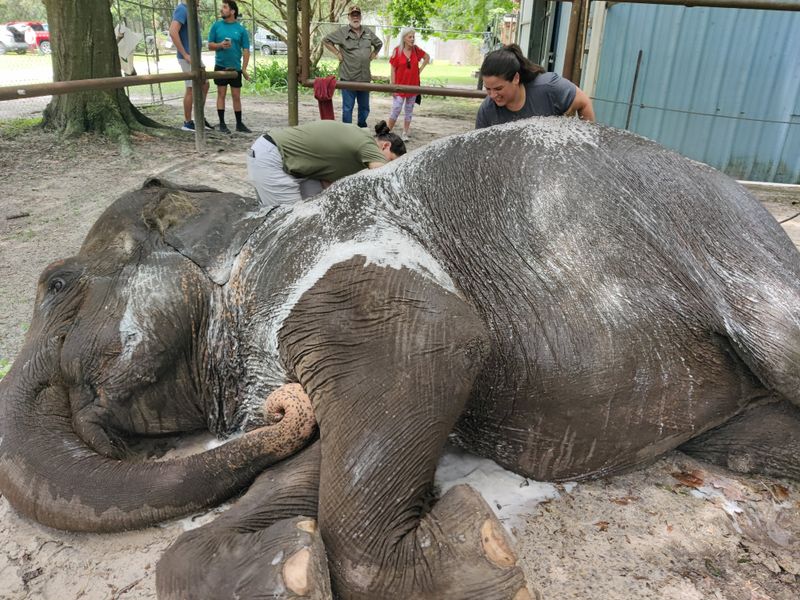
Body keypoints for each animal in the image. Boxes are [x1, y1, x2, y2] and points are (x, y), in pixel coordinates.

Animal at [1, 118, 798, 599]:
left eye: (58, 283)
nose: (283, 404)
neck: (247, 234)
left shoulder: (330, 256)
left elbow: (436, 344)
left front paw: (481, 545)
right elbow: (325, 457)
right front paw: (290, 563)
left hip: (734, 255)